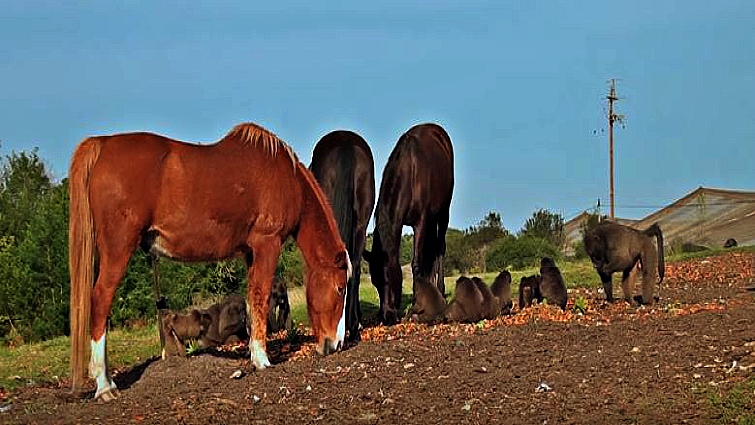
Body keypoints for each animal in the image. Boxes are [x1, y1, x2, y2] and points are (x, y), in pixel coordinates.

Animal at [69, 122, 351, 401]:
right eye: (340, 288)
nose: (336, 344)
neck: (286, 177)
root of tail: (103, 143)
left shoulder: (250, 253)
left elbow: (252, 301)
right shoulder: (267, 244)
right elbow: (261, 297)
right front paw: (262, 360)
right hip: (118, 249)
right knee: (100, 301)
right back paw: (105, 385)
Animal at [363, 123, 454, 325]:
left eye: (388, 279)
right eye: (375, 282)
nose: (387, 317)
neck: (409, 172)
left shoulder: (420, 222)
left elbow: (416, 263)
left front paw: (415, 307)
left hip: (443, 212)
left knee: (440, 247)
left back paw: (440, 290)